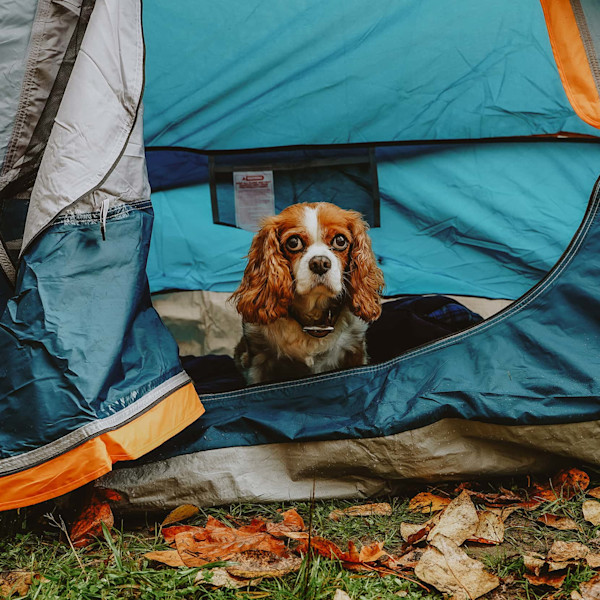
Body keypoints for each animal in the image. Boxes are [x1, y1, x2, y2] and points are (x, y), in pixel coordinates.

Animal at [230, 199, 384, 382]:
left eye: (340, 241)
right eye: (293, 242)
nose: (320, 263)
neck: (313, 315)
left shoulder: (355, 350)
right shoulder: (259, 360)